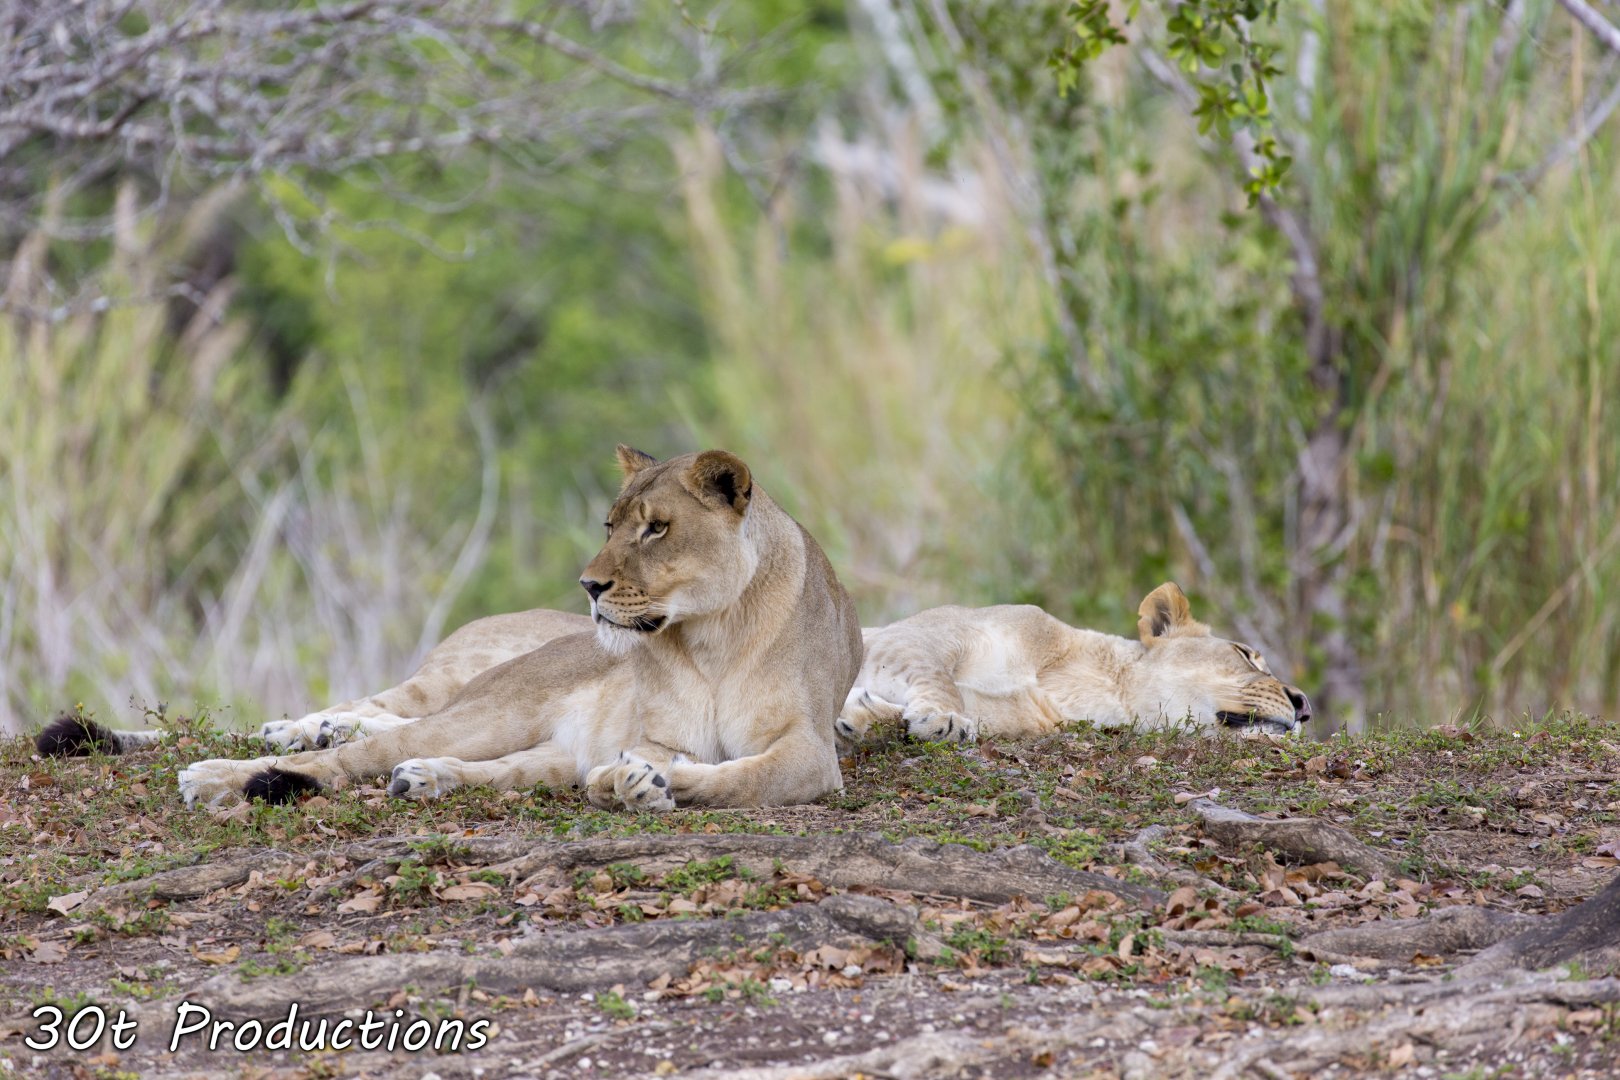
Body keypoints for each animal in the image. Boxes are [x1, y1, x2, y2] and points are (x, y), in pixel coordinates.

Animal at [134, 446, 861, 811]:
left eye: (657, 528)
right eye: (610, 524)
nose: (589, 586)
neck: (709, 635)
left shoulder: (810, 747)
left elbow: (743, 776)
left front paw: (649, 784)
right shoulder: (657, 735)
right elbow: (666, 760)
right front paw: (635, 781)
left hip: (547, 752)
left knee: (500, 771)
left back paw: (424, 777)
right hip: (490, 711)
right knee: (350, 755)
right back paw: (216, 776)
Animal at [835, 582, 1311, 745]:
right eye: (1245, 654)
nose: (1305, 706)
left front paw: (860, 716)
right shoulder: (914, 635)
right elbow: (937, 677)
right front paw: (940, 718)